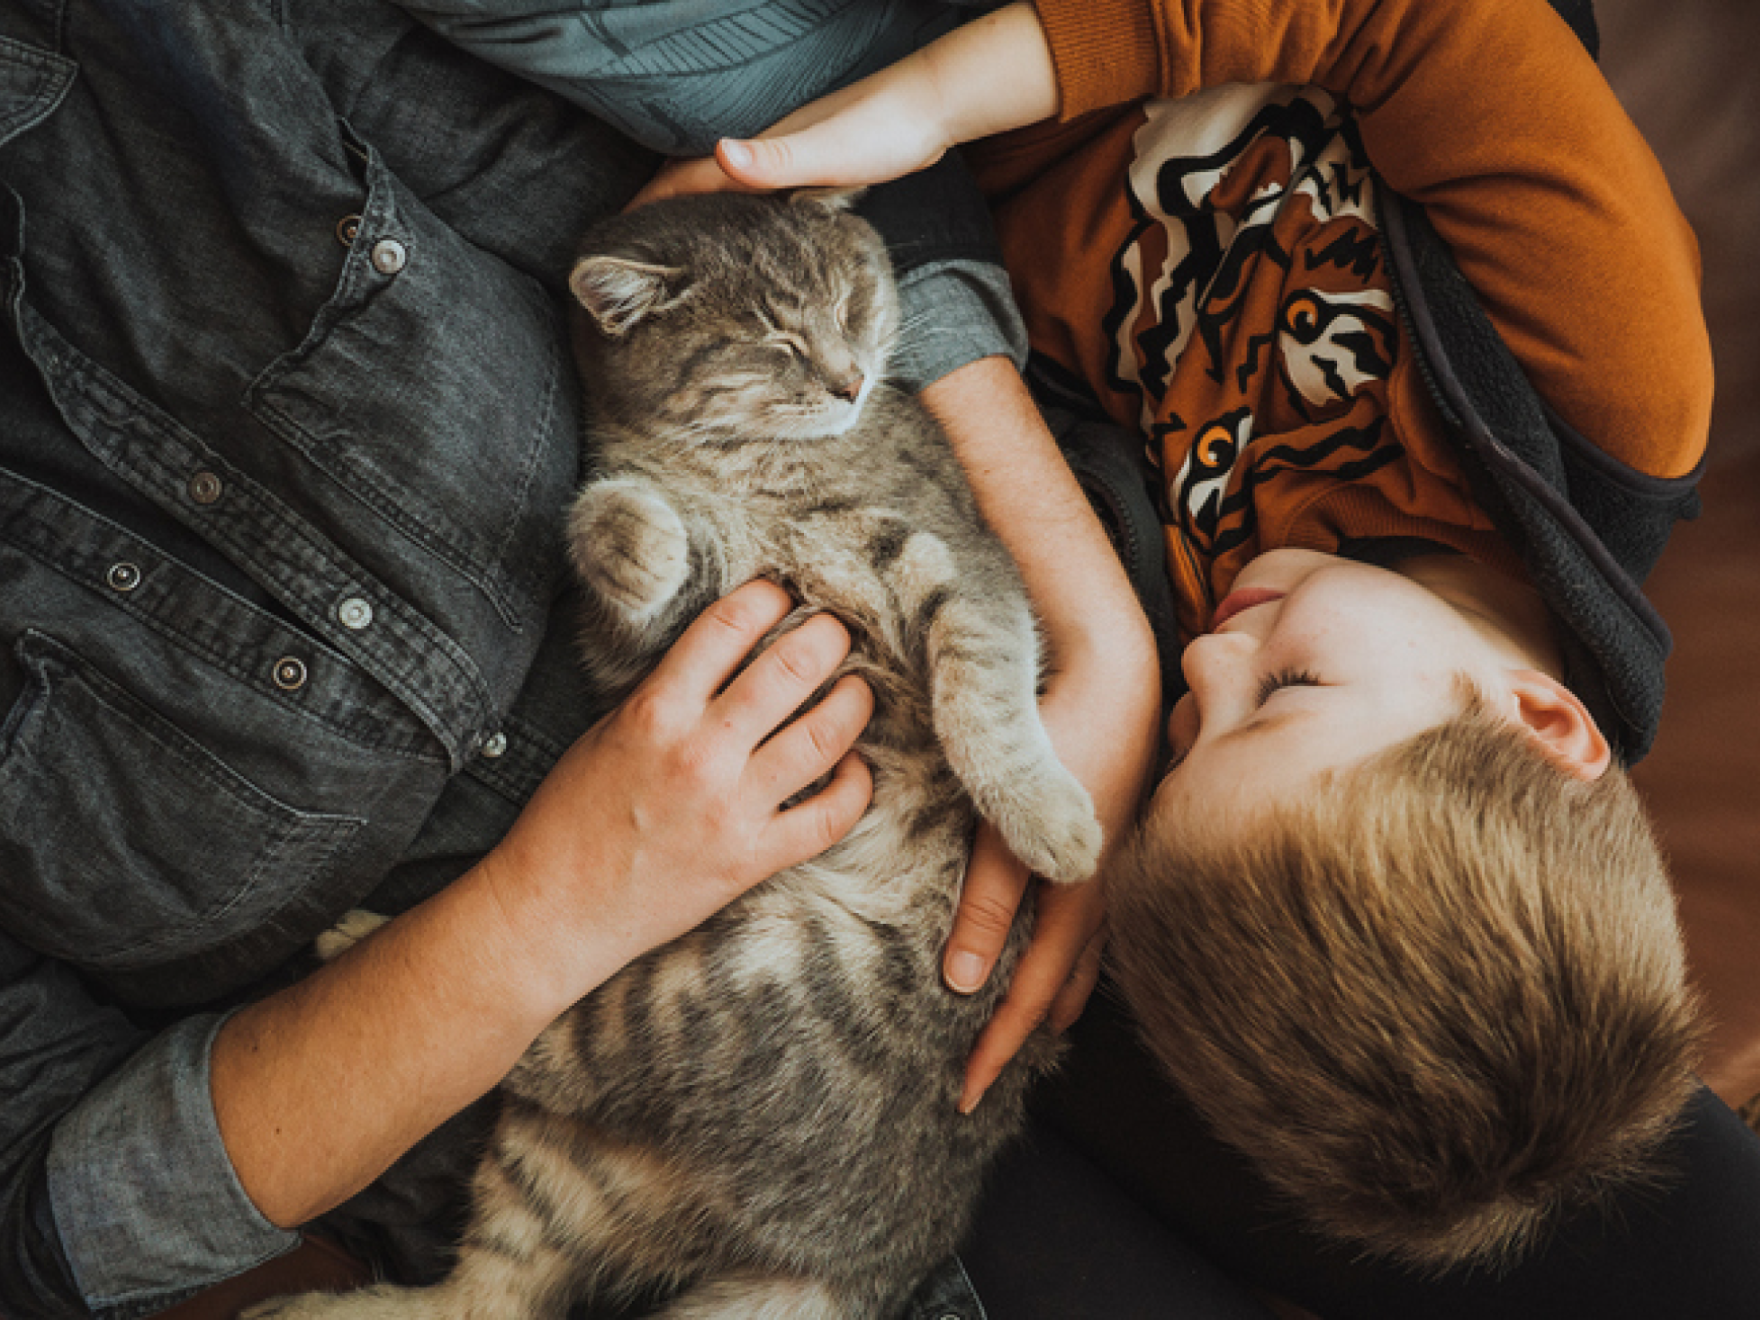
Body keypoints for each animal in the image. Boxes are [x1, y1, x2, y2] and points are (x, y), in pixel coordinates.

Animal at [248, 188, 1098, 1320]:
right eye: (778, 340)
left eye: (849, 301)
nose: (849, 380)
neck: (738, 468)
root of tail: (865, 1258)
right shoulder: (674, 633)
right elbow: (637, 548)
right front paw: (620, 516)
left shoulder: (956, 564)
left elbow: (983, 692)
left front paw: (1048, 823)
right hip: (638, 1080)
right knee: (493, 1206)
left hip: (742, 991)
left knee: (539, 1088)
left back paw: (347, 948)